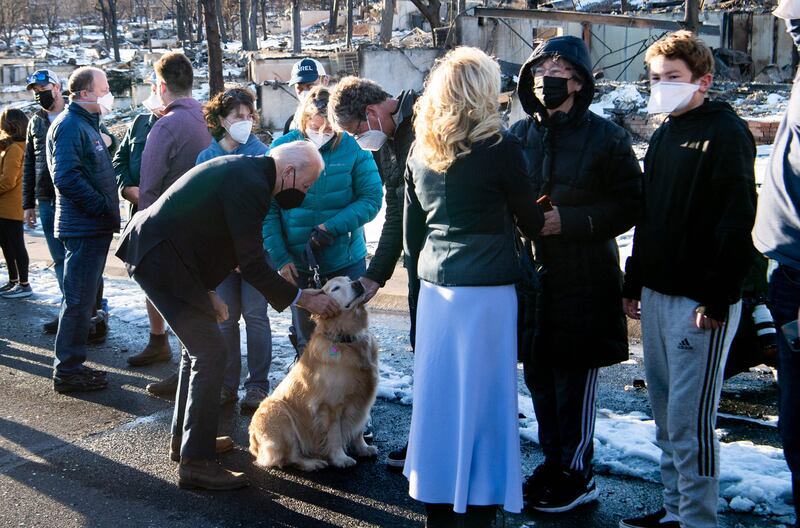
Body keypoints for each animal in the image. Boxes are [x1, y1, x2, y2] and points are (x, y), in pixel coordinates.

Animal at [247, 276, 378, 470]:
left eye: (349, 279)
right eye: (336, 288)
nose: (358, 283)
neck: (346, 339)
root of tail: (253, 443)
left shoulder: (361, 398)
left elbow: (358, 428)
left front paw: (363, 448)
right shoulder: (330, 406)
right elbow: (335, 434)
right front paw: (340, 458)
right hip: (279, 413)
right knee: (290, 456)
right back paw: (313, 462)